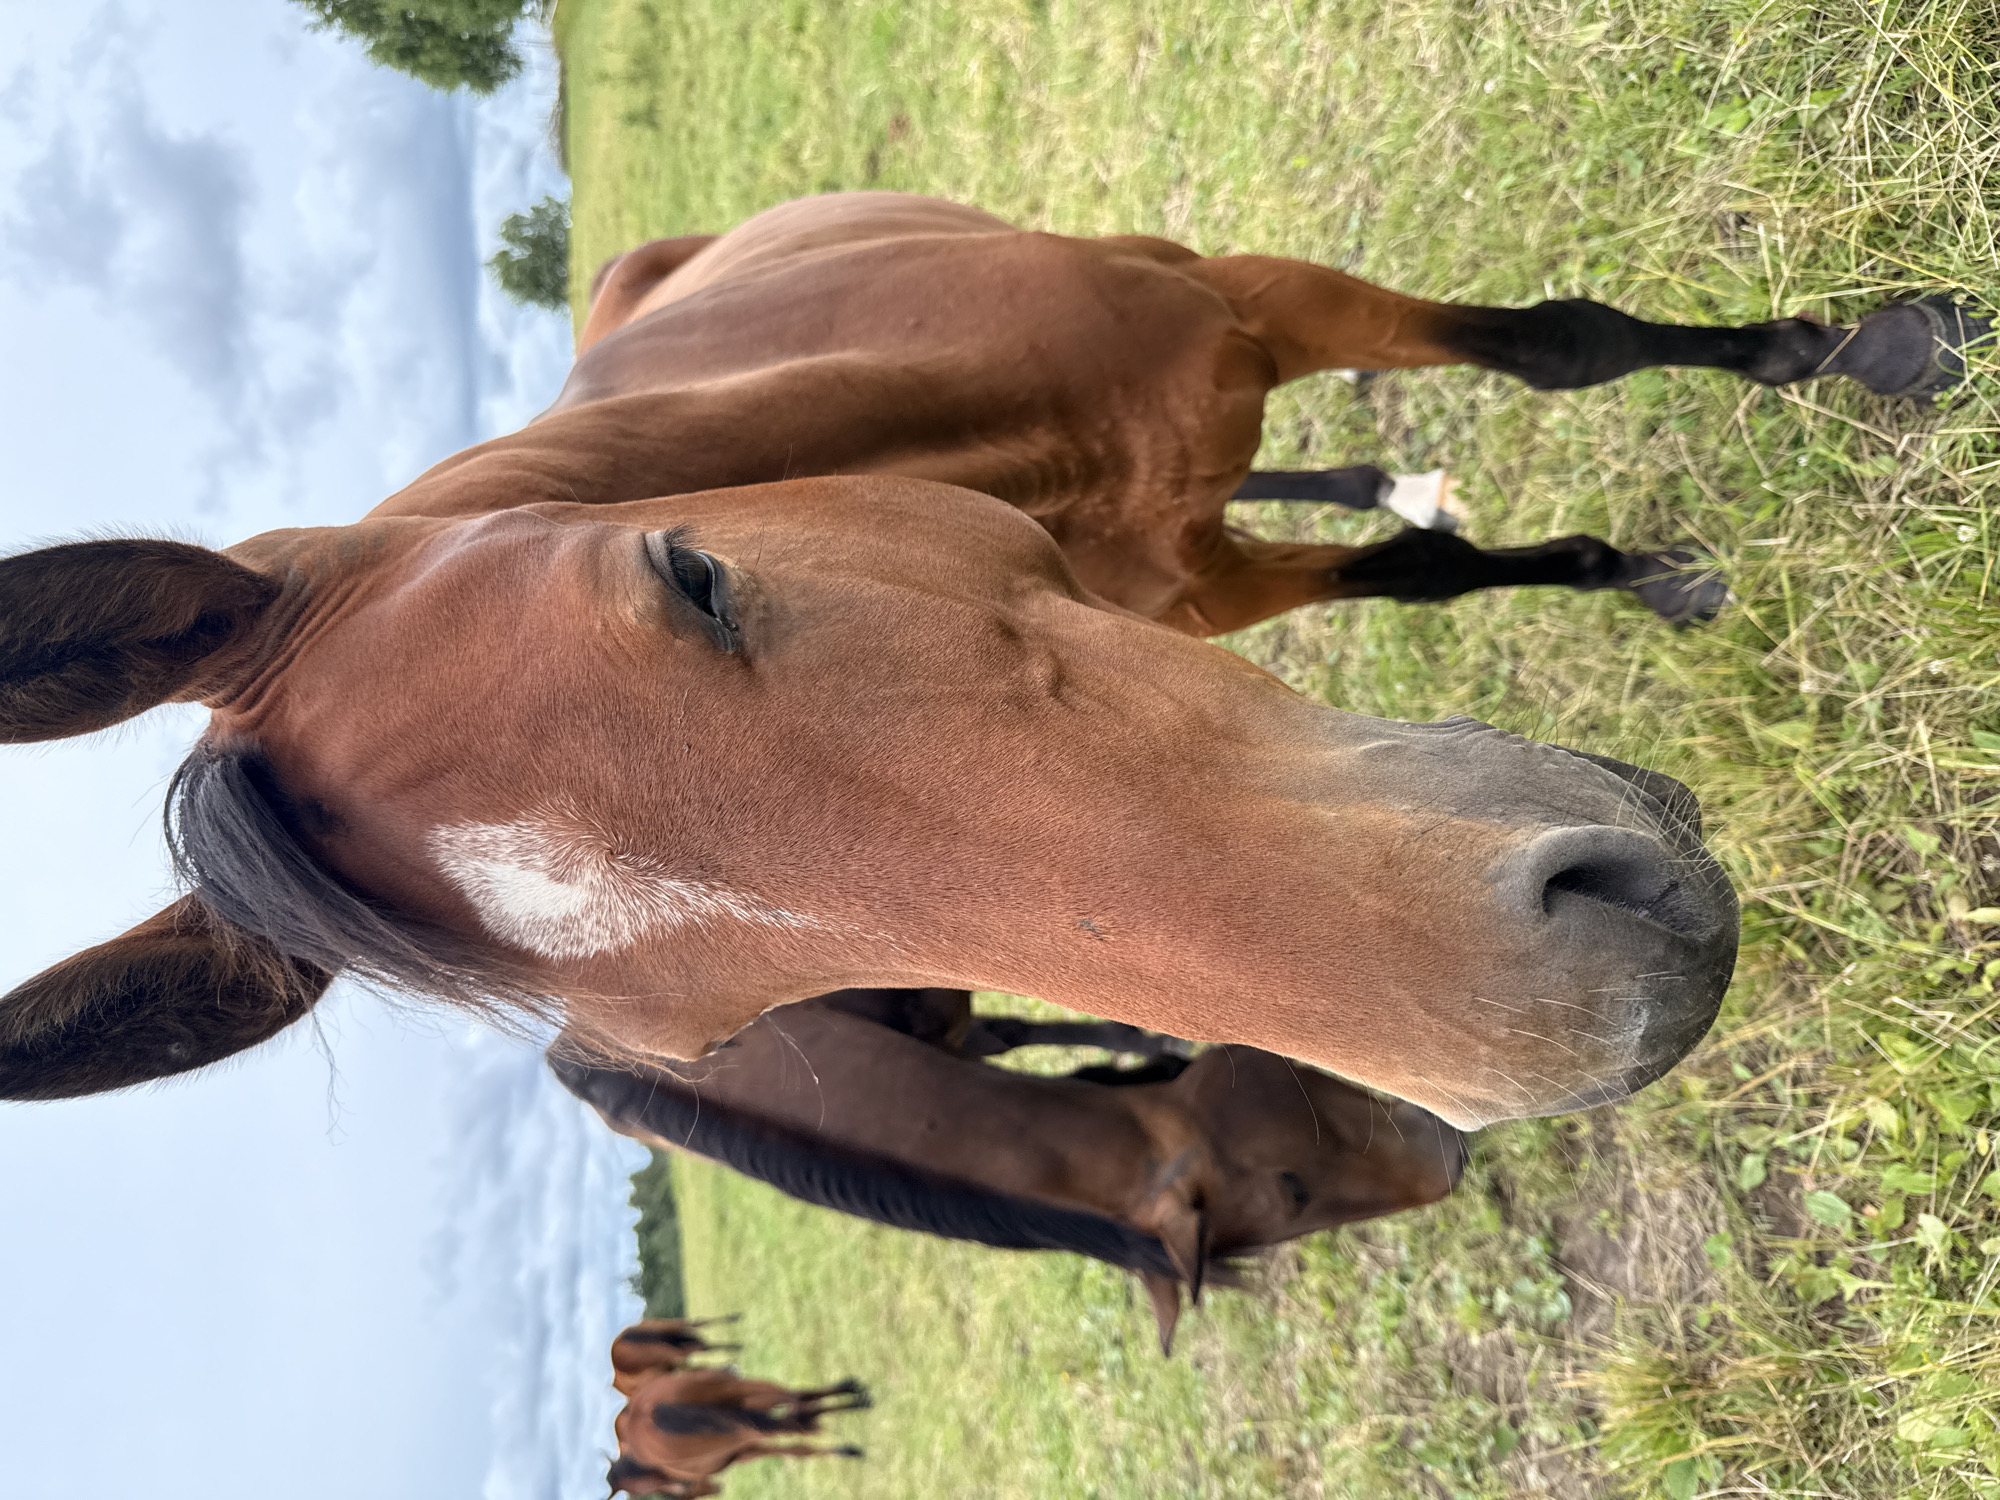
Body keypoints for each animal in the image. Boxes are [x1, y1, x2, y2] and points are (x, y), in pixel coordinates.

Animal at [23, 186, 1936, 1125]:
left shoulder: (1250, 298)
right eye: (726, 1026)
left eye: (689, 576)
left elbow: (1561, 349)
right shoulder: (1199, 590)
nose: (1576, 1011)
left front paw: (1853, 357)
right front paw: (1611, 560)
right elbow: (1418, 582)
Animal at [608, 1368, 869, 1492]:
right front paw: (845, 1449)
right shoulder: (749, 1446)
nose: (683, 1487)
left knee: (795, 1399)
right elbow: (799, 1447)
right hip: (747, 1397)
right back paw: (854, 1397)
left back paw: (854, 1397)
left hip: (742, 1391)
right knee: (796, 1403)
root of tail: (645, 1416)